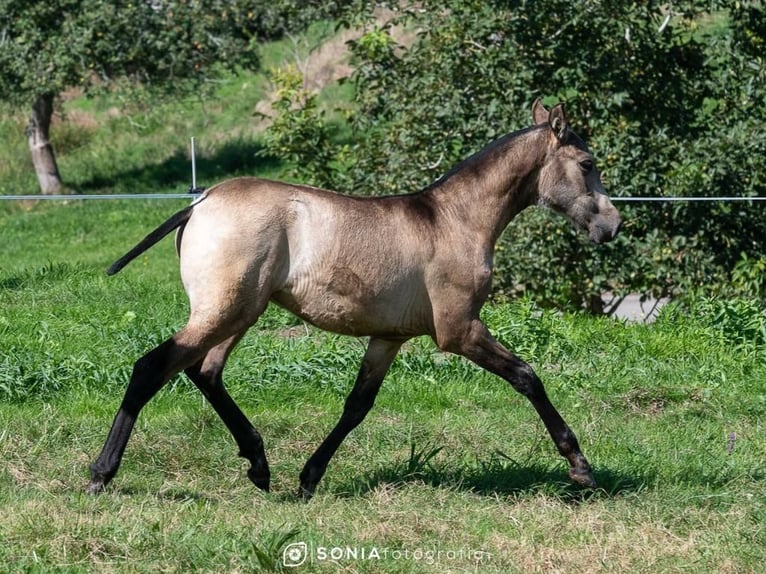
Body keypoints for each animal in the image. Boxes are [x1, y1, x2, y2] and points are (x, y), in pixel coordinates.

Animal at [85, 98, 624, 500]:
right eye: (588, 164)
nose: (612, 226)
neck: (456, 221)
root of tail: (199, 204)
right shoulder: (460, 330)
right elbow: (528, 377)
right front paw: (581, 468)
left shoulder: (388, 338)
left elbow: (356, 407)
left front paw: (308, 479)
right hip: (227, 311)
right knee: (153, 366)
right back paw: (101, 473)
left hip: (240, 312)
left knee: (205, 371)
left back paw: (259, 466)